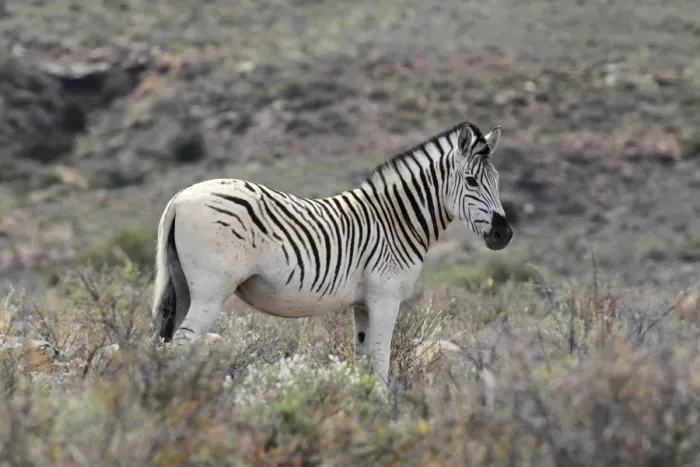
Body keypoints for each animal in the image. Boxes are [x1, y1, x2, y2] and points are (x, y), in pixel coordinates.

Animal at [151, 120, 513, 390]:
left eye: (496, 181)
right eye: (470, 181)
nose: (504, 234)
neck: (396, 221)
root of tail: (180, 197)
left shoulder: (363, 303)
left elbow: (364, 361)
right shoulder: (385, 297)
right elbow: (381, 361)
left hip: (183, 286)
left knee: (166, 341)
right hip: (211, 289)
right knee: (182, 342)